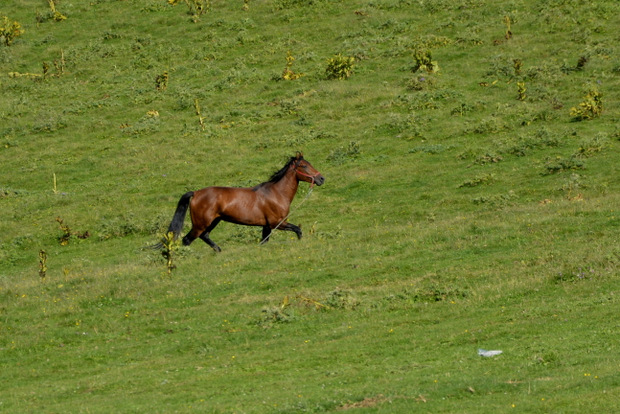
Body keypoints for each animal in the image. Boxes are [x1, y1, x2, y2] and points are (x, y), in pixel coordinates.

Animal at [162, 153, 326, 252]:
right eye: (304, 166)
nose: (321, 178)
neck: (276, 194)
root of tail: (196, 193)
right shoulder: (277, 223)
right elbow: (298, 230)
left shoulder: (266, 226)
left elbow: (263, 241)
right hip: (201, 223)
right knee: (187, 239)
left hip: (214, 221)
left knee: (205, 236)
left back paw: (219, 251)